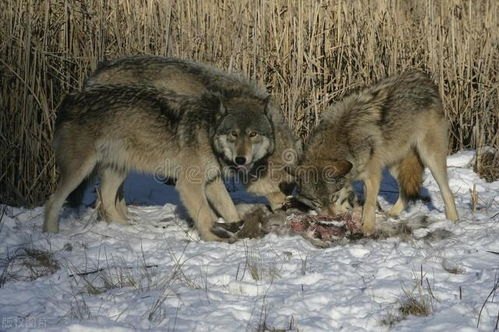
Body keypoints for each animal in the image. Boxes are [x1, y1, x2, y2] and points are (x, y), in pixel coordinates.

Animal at [44, 84, 274, 240]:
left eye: (253, 134)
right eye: (234, 134)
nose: (241, 159)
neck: (208, 130)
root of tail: (69, 99)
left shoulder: (212, 181)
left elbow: (229, 208)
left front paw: (240, 230)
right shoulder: (189, 185)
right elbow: (205, 216)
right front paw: (214, 239)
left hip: (118, 169)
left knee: (107, 199)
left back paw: (127, 228)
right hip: (80, 171)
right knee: (53, 201)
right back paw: (51, 234)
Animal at [294, 70, 458, 235]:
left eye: (333, 197)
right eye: (316, 202)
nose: (330, 218)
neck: (343, 139)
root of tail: (425, 79)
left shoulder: (372, 176)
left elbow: (369, 205)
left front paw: (367, 228)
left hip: (430, 158)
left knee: (447, 192)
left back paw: (453, 220)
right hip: (394, 166)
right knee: (405, 192)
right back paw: (391, 213)